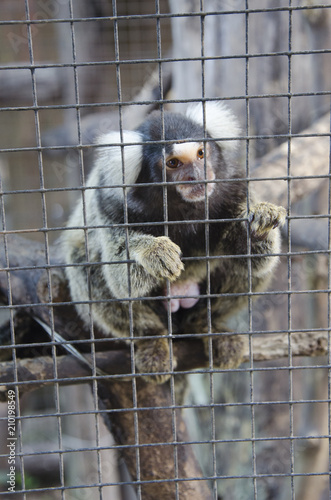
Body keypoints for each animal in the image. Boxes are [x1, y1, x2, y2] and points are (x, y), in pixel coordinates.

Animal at [63, 101, 286, 382]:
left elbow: (253, 260)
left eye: (201, 154)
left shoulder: (235, 189)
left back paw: (207, 325)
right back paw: (152, 339)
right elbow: (119, 279)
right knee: (86, 265)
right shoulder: (111, 205)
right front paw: (153, 252)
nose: (197, 176)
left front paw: (259, 224)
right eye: (173, 163)